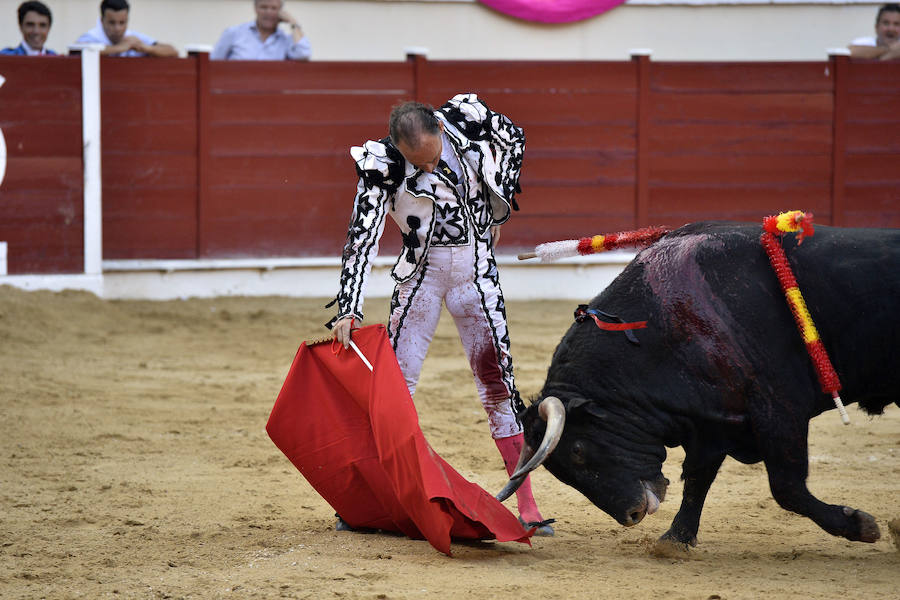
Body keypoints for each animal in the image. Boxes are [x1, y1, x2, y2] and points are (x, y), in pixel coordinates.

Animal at [520, 221, 900, 548]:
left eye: (578, 451)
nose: (632, 514)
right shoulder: (710, 420)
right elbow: (698, 477)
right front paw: (675, 540)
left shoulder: (779, 408)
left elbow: (786, 487)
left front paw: (861, 526)